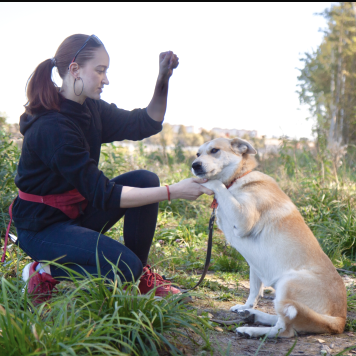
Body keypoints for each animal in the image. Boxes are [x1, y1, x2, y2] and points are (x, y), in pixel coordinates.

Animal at [193, 138, 346, 338]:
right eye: (197, 153)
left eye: (214, 150)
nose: (194, 165)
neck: (238, 178)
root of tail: (341, 319)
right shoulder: (254, 265)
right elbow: (254, 290)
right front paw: (246, 305)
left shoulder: (243, 220)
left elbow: (217, 184)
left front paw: (207, 183)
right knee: (283, 319)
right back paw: (252, 314)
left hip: (287, 283)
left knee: (285, 329)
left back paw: (250, 329)